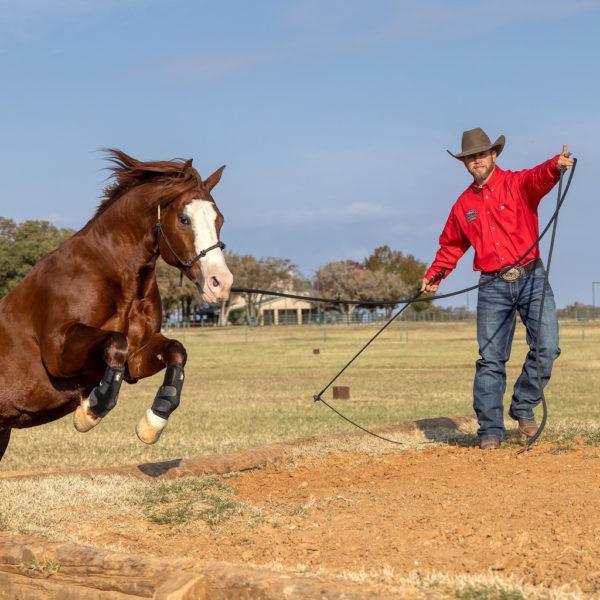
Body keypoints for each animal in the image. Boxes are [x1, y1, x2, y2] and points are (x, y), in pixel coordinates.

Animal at [0, 150, 233, 462]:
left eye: (219, 219)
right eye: (184, 219)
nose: (221, 283)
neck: (114, 275)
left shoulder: (137, 358)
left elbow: (175, 351)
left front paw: (153, 421)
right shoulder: (58, 351)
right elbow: (114, 342)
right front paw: (90, 411)